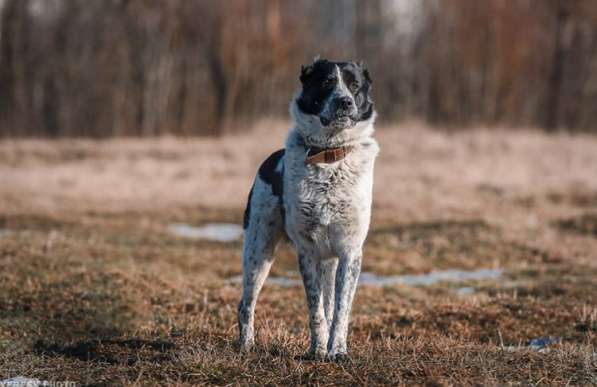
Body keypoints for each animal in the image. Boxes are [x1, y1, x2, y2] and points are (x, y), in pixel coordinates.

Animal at [237, 57, 378, 360]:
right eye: (326, 83)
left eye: (354, 85)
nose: (345, 102)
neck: (329, 156)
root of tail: (269, 160)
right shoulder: (308, 251)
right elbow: (315, 310)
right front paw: (318, 350)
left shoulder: (350, 251)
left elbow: (340, 309)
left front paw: (337, 351)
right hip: (258, 250)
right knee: (245, 303)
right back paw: (246, 345)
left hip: (328, 260)